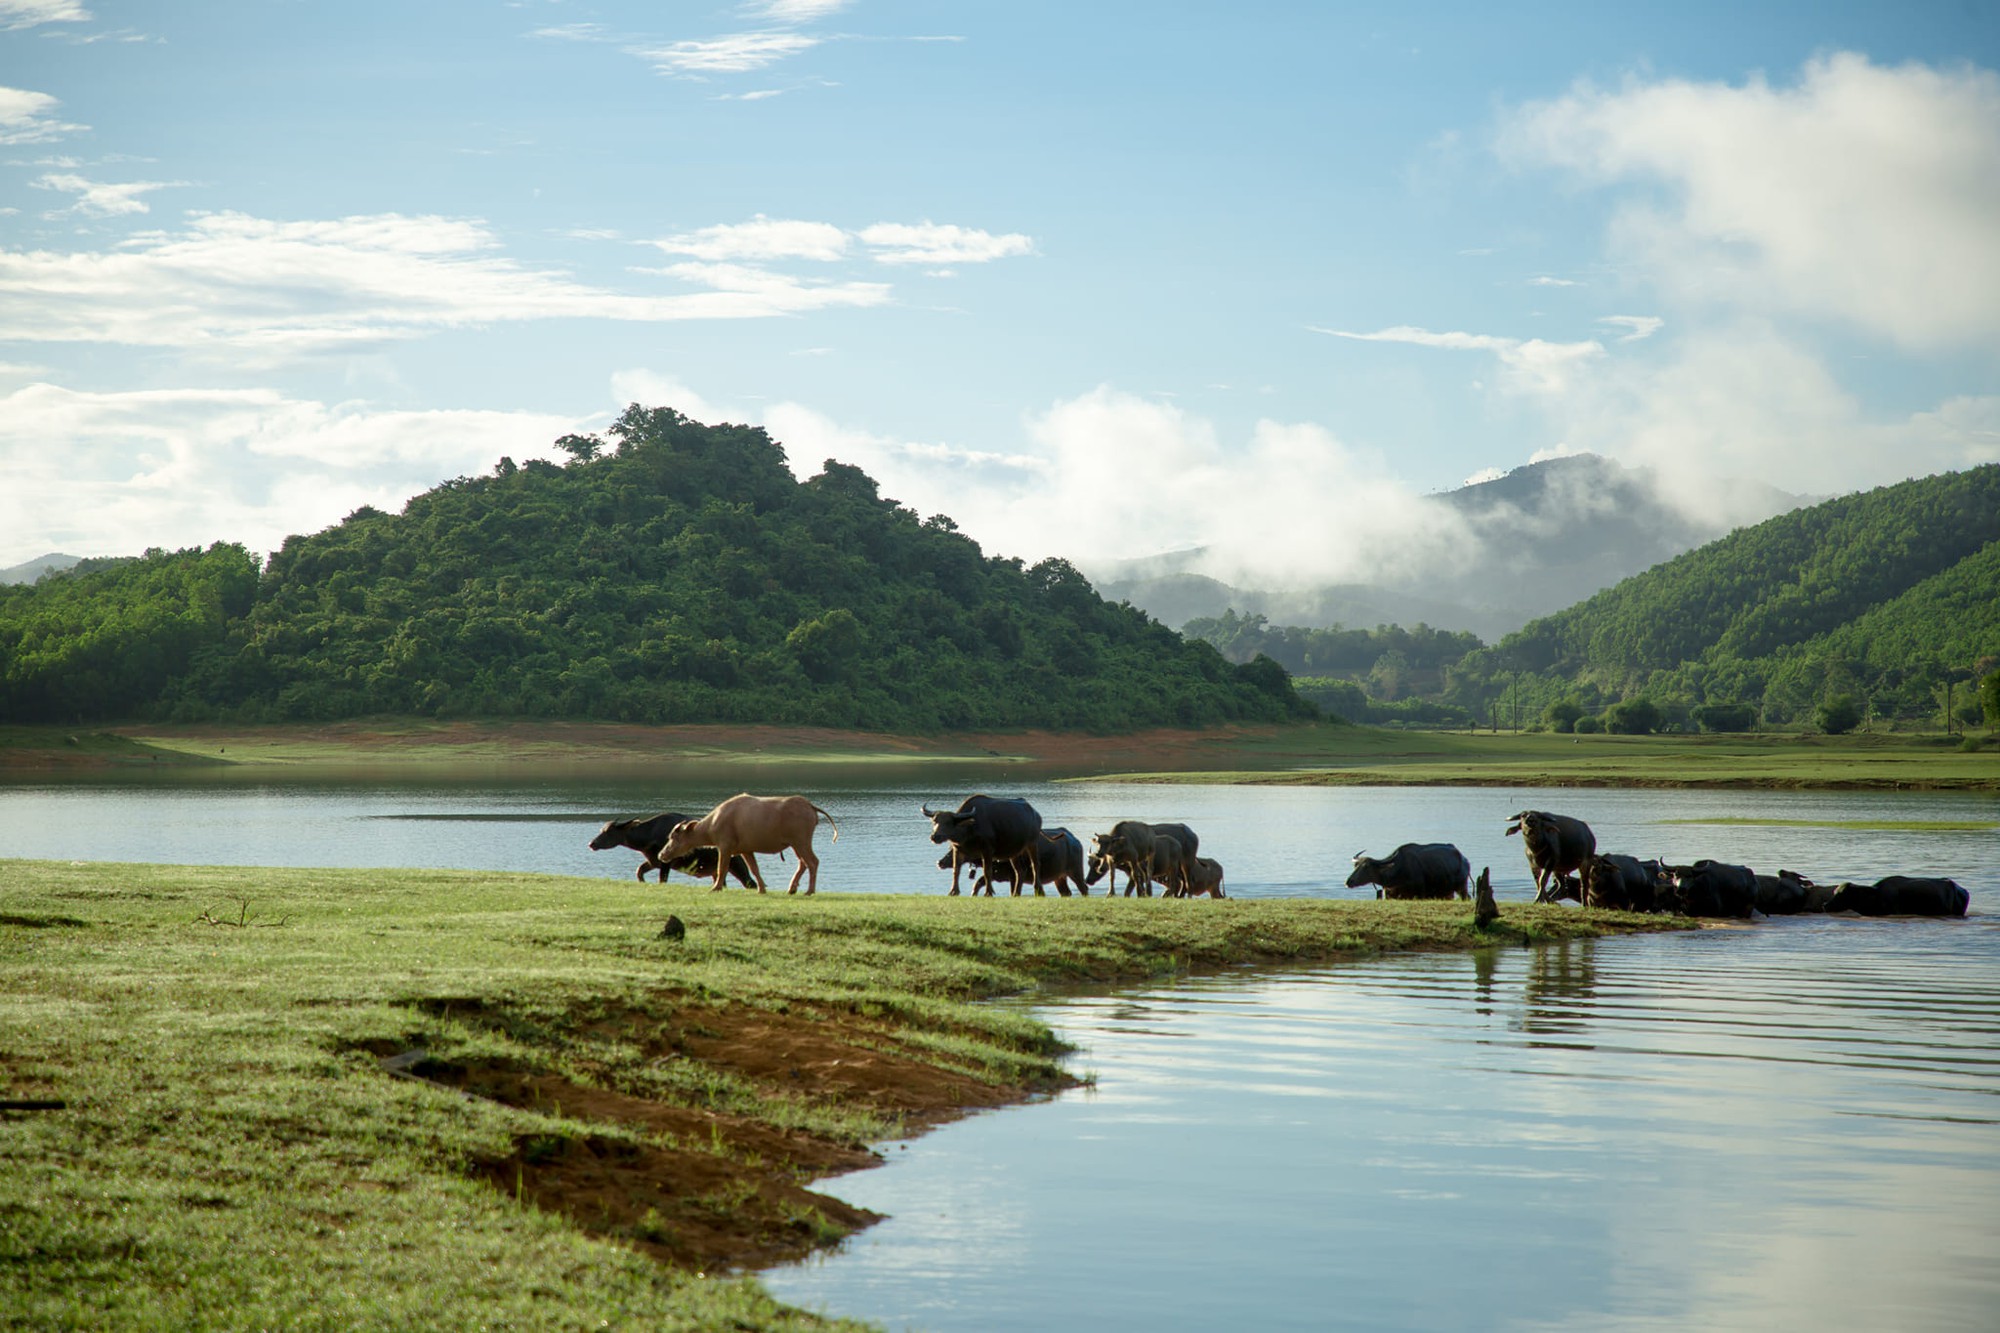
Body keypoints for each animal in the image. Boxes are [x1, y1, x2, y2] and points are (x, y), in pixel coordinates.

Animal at [592, 804, 756, 888]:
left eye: (608, 832)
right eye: (602, 830)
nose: (591, 844)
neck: (649, 834)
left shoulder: (666, 863)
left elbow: (662, 880)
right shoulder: (654, 861)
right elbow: (639, 871)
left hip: (737, 865)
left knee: (750, 883)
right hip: (717, 871)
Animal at [660, 788, 840, 892]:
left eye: (673, 837)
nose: (662, 854)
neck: (713, 824)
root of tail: (809, 806)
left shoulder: (725, 847)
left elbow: (721, 868)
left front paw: (715, 887)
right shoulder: (746, 850)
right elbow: (754, 869)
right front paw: (762, 888)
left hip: (801, 841)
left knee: (812, 862)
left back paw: (809, 890)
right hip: (795, 844)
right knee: (803, 863)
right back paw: (792, 888)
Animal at [920, 792, 1048, 896]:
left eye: (948, 822)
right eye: (934, 821)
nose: (935, 836)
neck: (970, 828)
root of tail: (1036, 814)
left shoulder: (987, 850)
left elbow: (987, 872)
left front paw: (988, 893)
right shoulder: (958, 850)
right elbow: (956, 871)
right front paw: (953, 892)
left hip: (1032, 843)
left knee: (1035, 865)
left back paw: (1039, 891)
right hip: (1013, 852)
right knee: (1020, 871)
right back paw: (1016, 894)